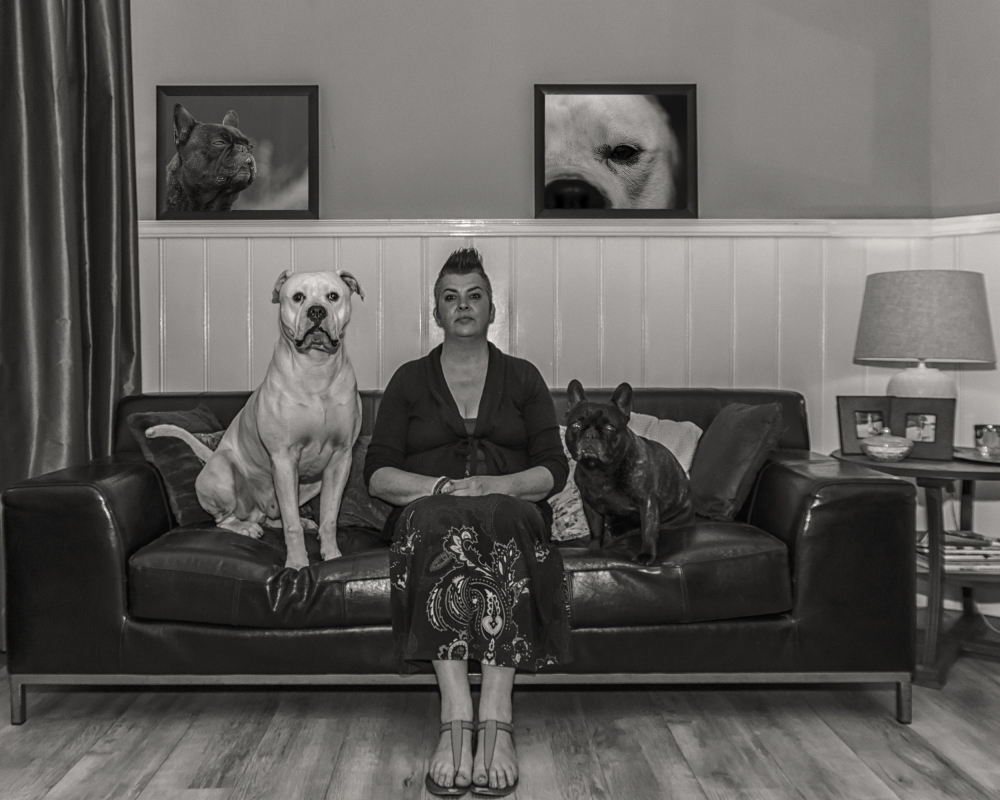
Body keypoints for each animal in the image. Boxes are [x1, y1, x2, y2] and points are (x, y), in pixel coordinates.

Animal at [147, 270, 364, 570]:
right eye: (298, 297)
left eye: (333, 296)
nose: (317, 311)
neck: (316, 369)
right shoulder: (283, 459)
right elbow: (291, 526)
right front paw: (298, 564)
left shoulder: (340, 459)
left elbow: (329, 518)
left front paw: (331, 555)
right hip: (223, 475)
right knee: (225, 519)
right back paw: (246, 527)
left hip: (313, 483)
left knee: (277, 517)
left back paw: (299, 521)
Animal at [564, 380, 693, 564]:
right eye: (576, 426)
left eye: (610, 428)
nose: (590, 435)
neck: (601, 470)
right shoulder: (591, 505)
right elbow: (596, 530)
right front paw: (594, 548)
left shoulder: (647, 502)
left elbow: (648, 530)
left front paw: (647, 554)